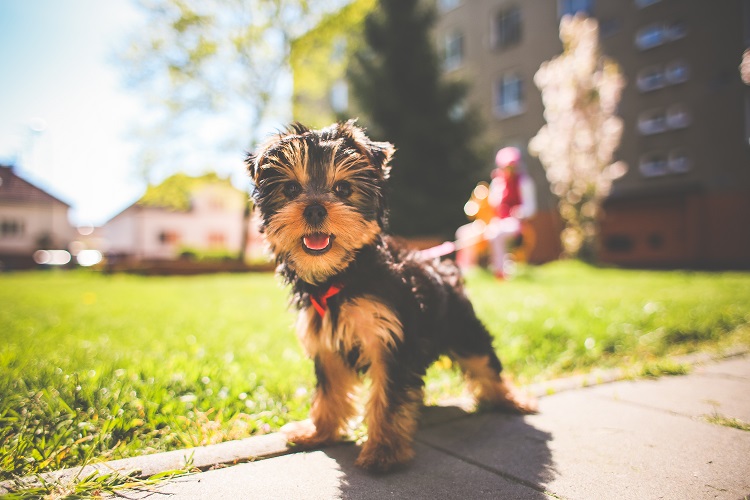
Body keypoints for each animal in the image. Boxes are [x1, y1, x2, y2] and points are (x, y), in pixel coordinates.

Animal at [250, 121, 536, 472]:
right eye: (290, 190)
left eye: (343, 189)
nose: (315, 209)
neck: (342, 277)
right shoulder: (325, 341)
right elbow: (329, 390)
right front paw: (319, 431)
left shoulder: (389, 340)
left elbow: (387, 397)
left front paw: (383, 451)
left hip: (463, 328)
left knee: (485, 361)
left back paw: (512, 399)